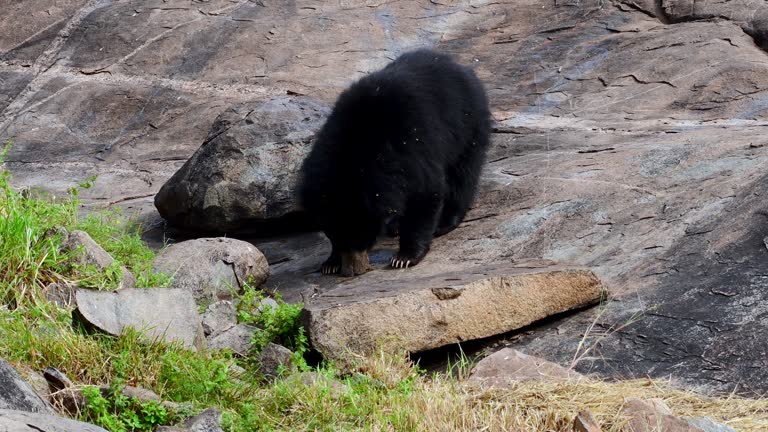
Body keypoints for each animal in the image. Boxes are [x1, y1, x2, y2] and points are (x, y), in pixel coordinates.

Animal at [296, 48, 488, 276]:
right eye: (335, 236)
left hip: (468, 125)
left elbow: (425, 192)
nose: (353, 270)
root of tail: (463, 68)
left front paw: (404, 258)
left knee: (463, 175)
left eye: (363, 237)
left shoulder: (412, 145)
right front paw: (330, 263)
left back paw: (446, 222)